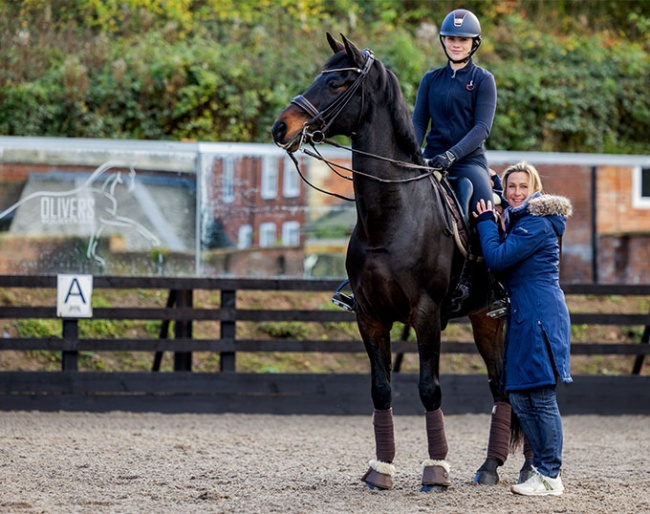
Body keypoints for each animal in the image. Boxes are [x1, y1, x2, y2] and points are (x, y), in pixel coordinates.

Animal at [270, 34, 524, 490]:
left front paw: (436, 470)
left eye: (336, 82)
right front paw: (380, 470)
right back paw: (489, 467)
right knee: (499, 386)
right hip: (483, 318)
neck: (392, 216)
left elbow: (429, 389)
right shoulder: (370, 316)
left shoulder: (425, 315)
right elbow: (381, 389)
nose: (282, 127)